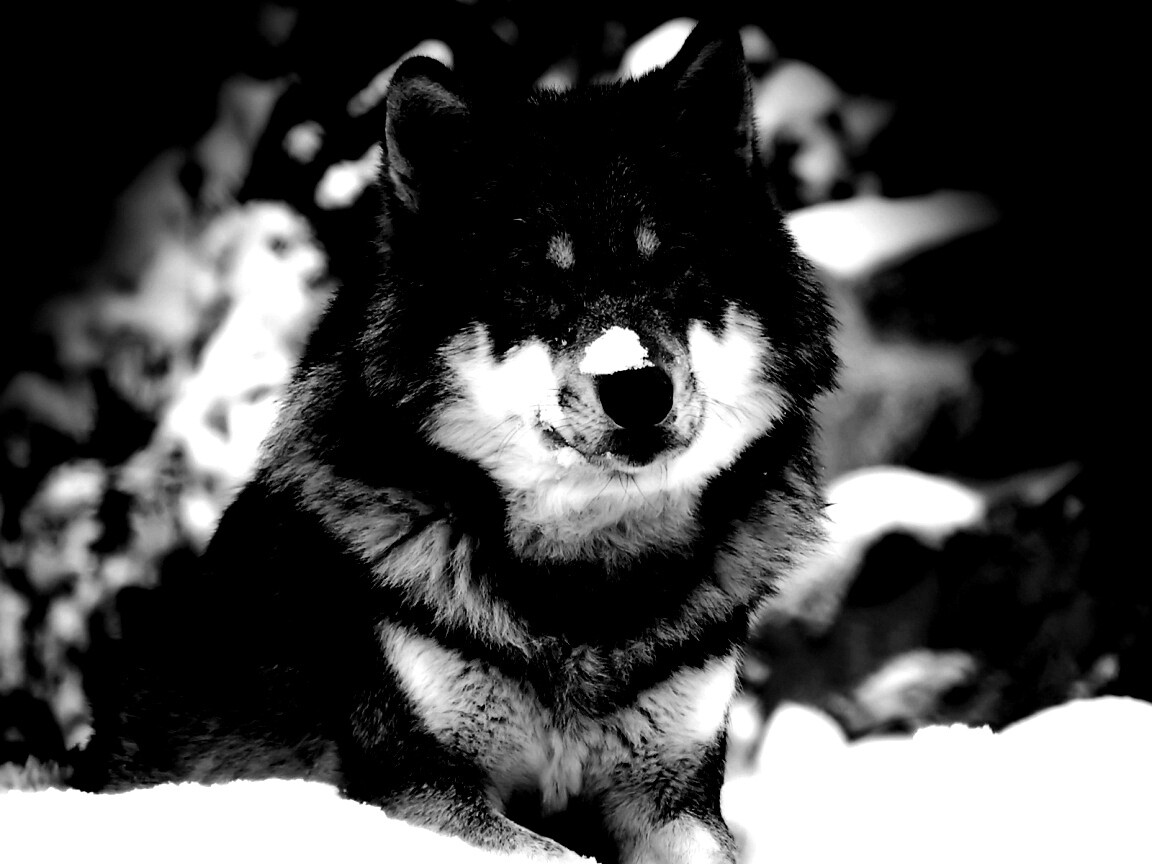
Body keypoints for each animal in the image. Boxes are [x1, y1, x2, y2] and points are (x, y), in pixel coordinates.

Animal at [76, 23, 836, 864]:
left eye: (671, 262)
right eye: (536, 282)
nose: (637, 385)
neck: (584, 593)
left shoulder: (675, 796)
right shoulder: (418, 790)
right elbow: (558, 855)